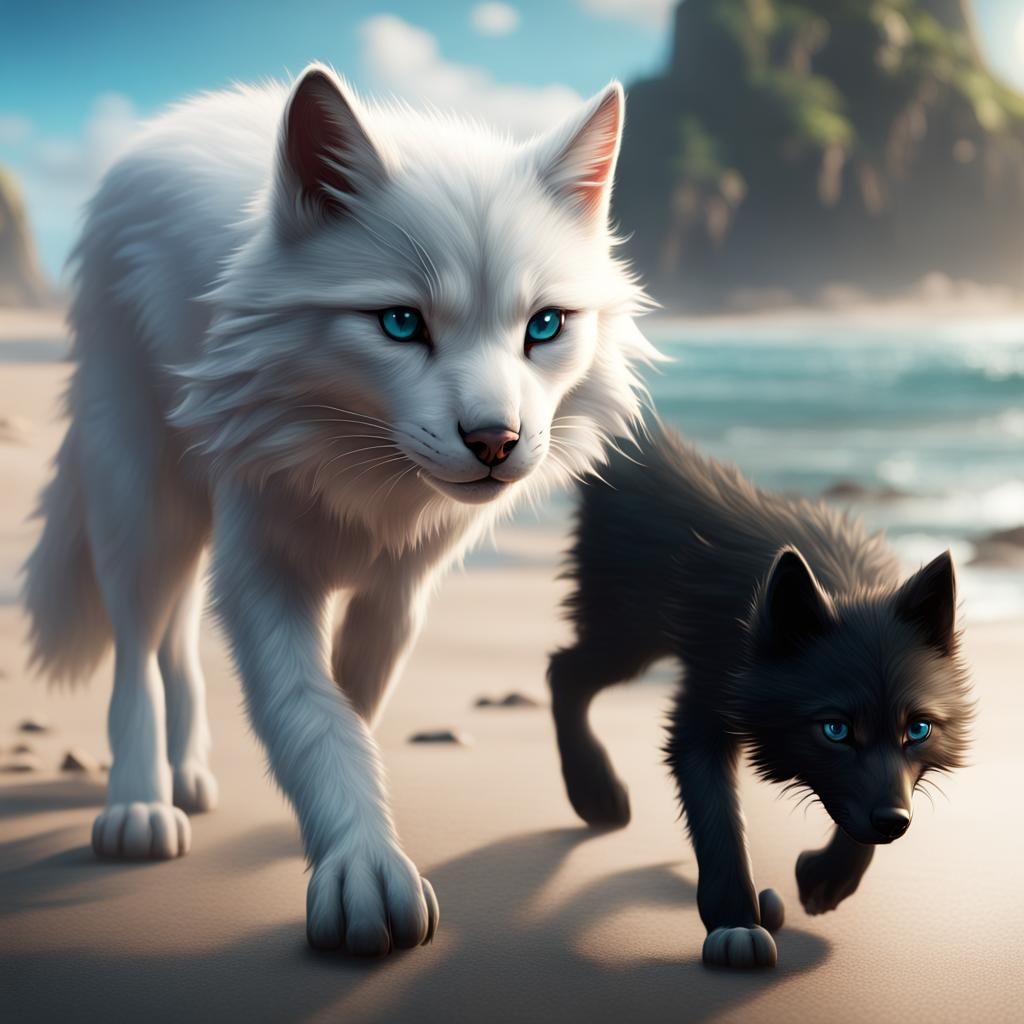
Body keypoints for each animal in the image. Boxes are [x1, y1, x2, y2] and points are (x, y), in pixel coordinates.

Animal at [22, 64, 657, 955]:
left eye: (544, 327)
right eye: (400, 322)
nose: (494, 442)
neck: (365, 480)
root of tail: (168, 125)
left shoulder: (398, 592)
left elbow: (352, 704)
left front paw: (344, 838)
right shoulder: (261, 576)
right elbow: (311, 716)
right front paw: (363, 872)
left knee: (175, 640)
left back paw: (188, 775)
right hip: (142, 499)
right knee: (140, 647)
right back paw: (140, 804)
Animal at [549, 421, 973, 967]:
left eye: (917, 730)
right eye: (835, 730)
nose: (897, 825)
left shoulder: (883, 793)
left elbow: (862, 815)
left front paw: (828, 878)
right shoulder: (704, 714)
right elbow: (719, 825)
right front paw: (735, 923)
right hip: (628, 634)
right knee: (564, 672)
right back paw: (593, 790)